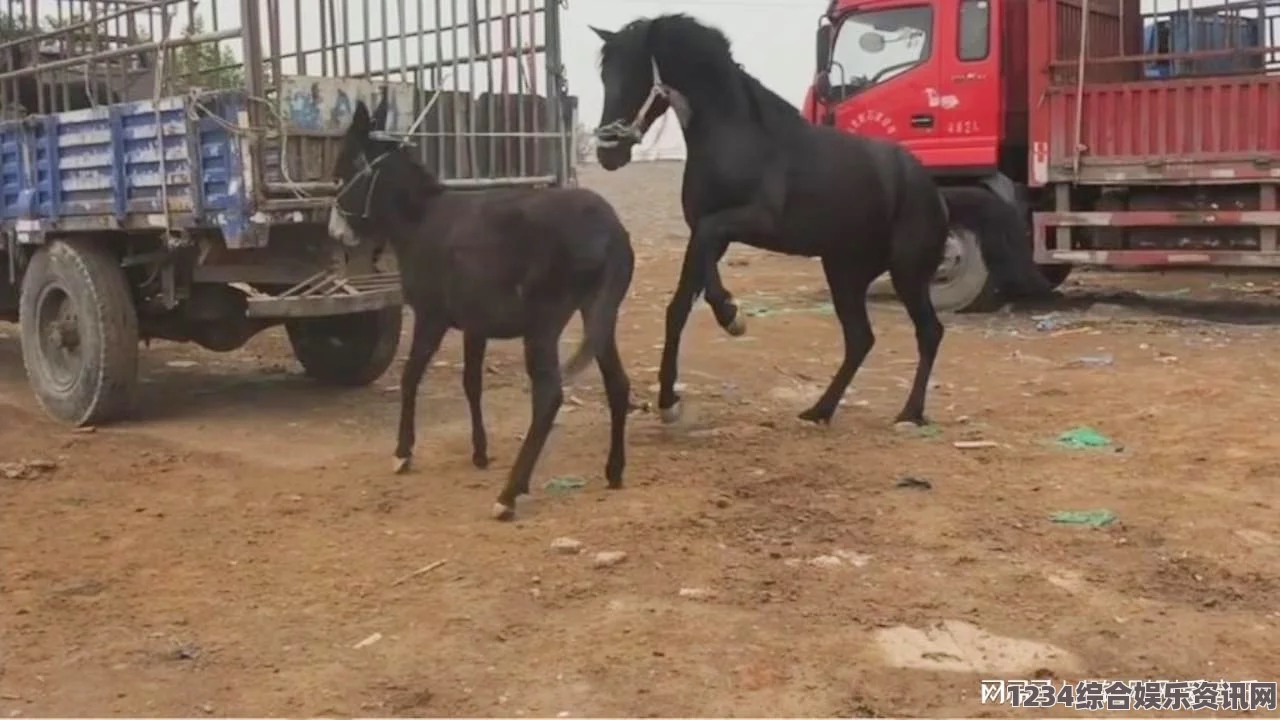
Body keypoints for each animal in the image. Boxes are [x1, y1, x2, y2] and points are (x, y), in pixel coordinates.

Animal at [327, 98, 632, 517]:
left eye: (342, 169)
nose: (335, 233)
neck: (421, 218)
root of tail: (610, 229)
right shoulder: (476, 324)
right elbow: (472, 383)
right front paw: (480, 452)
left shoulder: (431, 316)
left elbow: (410, 376)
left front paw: (403, 452)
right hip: (599, 312)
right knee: (617, 382)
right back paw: (614, 470)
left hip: (545, 321)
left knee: (549, 395)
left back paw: (509, 494)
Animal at [588, 15, 1049, 425]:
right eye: (605, 75)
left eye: (631, 73)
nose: (607, 154)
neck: (739, 137)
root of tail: (938, 195)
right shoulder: (707, 232)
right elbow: (679, 305)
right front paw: (669, 402)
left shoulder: (750, 221)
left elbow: (706, 247)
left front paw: (732, 316)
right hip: (845, 271)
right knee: (861, 338)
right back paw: (819, 411)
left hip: (908, 273)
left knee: (928, 332)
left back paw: (909, 414)